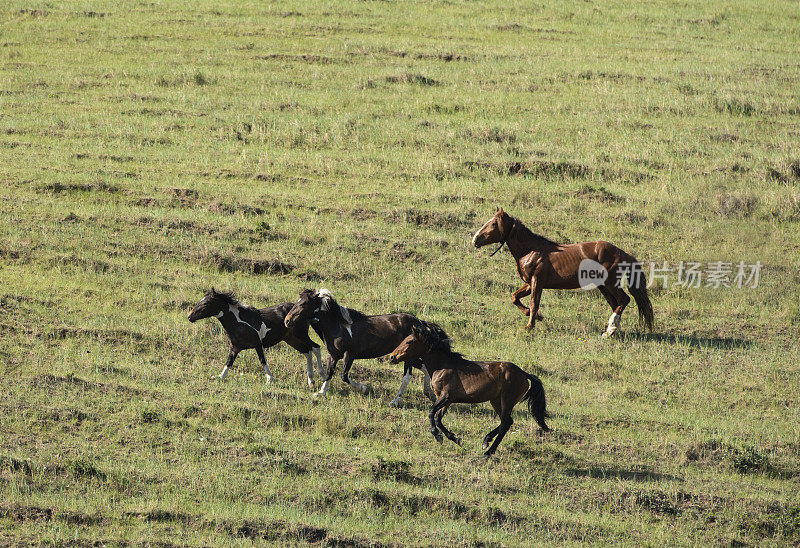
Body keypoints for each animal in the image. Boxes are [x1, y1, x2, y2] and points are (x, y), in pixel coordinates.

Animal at [187, 286, 322, 386]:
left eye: (206, 302)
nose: (189, 316)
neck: (239, 322)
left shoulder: (258, 344)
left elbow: (262, 360)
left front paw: (270, 379)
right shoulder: (234, 347)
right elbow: (229, 362)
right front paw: (220, 376)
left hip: (301, 335)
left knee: (315, 348)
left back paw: (320, 376)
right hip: (291, 339)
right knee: (307, 351)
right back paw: (311, 380)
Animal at [282, 288, 440, 404]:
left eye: (303, 303)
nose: (287, 321)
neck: (339, 327)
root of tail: (419, 322)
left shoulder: (349, 355)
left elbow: (344, 376)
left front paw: (364, 388)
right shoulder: (333, 354)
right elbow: (329, 373)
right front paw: (320, 392)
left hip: (407, 356)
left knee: (407, 376)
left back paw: (396, 400)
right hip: (410, 355)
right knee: (425, 367)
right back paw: (429, 393)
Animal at [388, 322, 552, 458]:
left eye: (409, 341)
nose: (392, 357)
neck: (443, 366)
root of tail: (524, 374)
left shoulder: (445, 396)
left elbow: (431, 413)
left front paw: (438, 436)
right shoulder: (448, 400)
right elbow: (438, 418)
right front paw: (455, 439)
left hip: (507, 400)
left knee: (505, 423)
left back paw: (488, 451)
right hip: (496, 401)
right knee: (507, 422)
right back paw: (486, 441)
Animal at [472, 206, 652, 336]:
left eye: (493, 223)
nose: (475, 240)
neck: (531, 250)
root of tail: (623, 253)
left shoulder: (537, 281)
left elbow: (534, 302)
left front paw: (530, 325)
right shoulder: (530, 283)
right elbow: (515, 297)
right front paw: (536, 316)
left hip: (610, 283)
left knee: (624, 300)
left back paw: (611, 329)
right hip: (603, 286)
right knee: (616, 304)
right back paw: (611, 330)